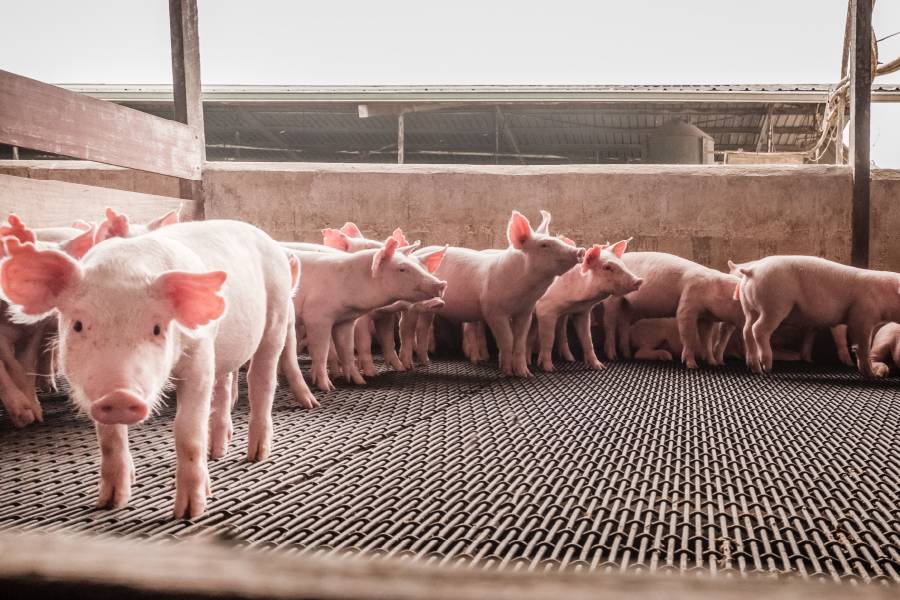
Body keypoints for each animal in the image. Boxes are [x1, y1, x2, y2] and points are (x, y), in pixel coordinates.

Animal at [0, 220, 316, 520]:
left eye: (156, 328)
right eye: (78, 325)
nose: (120, 395)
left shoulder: (200, 353)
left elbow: (187, 429)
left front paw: (190, 512)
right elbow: (109, 438)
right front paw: (110, 502)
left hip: (276, 317)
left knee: (261, 380)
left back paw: (257, 455)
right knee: (225, 385)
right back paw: (217, 450)